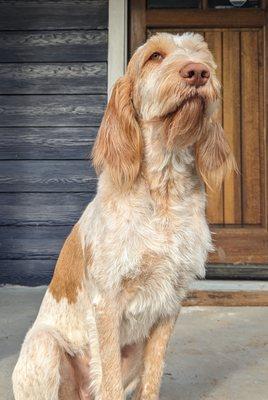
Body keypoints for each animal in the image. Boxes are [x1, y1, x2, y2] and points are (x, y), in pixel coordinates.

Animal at [12, 33, 234, 400]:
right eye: (155, 56)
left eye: (202, 56)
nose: (198, 72)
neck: (163, 192)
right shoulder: (107, 302)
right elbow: (111, 380)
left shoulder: (170, 302)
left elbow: (153, 378)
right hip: (44, 345)